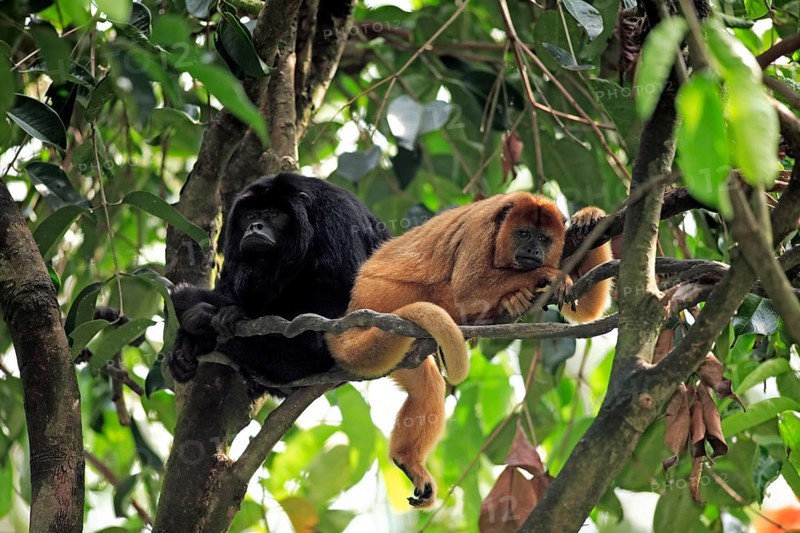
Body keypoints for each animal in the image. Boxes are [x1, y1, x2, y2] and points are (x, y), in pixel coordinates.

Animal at [167, 173, 389, 395]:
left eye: (274, 214)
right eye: (249, 216)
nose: (255, 226)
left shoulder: (337, 221)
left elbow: (342, 295)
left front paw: (226, 313)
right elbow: (229, 285)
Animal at [325, 191, 613, 508]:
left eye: (545, 238)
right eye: (524, 234)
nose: (533, 250)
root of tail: (353, 309)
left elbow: (587, 309)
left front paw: (589, 217)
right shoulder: (481, 227)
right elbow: (468, 287)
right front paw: (548, 275)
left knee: (426, 387)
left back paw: (407, 459)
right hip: (384, 296)